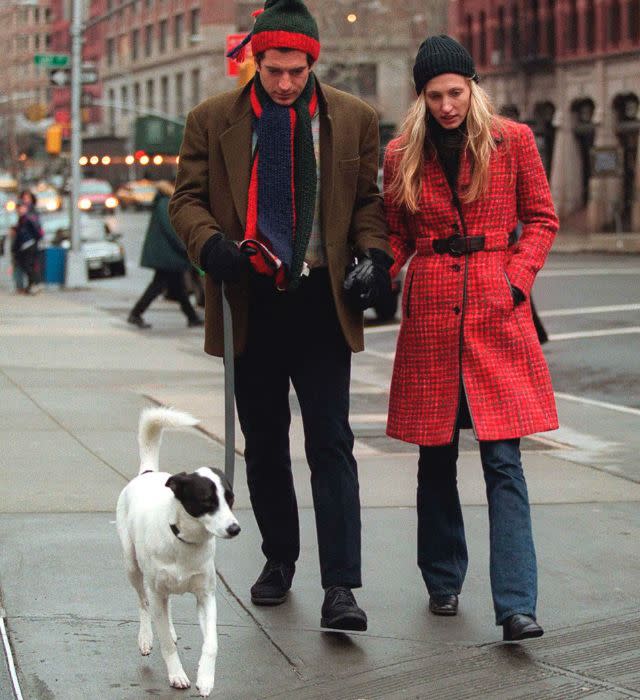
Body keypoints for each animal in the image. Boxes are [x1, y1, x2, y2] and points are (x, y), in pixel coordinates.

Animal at [115, 408, 240, 696]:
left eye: (230, 499)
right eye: (207, 501)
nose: (235, 528)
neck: (185, 541)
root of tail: (147, 472)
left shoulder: (206, 596)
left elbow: (212, 643)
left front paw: (205, 678)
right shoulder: (155, 589)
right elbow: (166, 644)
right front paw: (176, 675)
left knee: (165, 605)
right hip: (132, 566)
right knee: (144, 602)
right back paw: (146, 637)